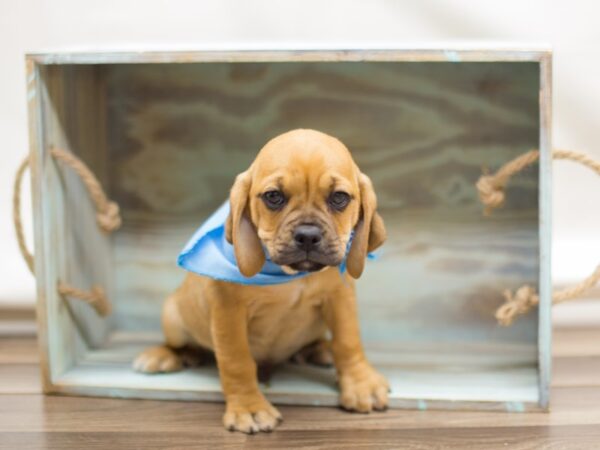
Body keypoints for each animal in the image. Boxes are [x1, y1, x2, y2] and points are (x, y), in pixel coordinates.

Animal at [134, 129, 390, 432]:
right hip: (173, 315)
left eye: (339, 197)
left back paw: (319, 349)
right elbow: (237, 361)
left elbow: (348, 341)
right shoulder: (228, 313)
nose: (307, 236)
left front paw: (361, 384)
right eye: (273, 197)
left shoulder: (340, 297)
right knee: (180, 343)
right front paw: (249, 407)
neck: (289, 275)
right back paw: (168, 355)